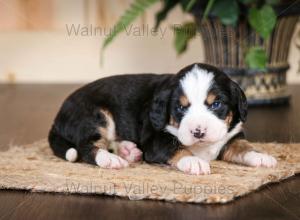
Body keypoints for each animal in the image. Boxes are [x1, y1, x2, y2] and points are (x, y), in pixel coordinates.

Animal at [48, 62, 276, 174]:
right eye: (180, 107)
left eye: (216, 104)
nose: (198, 132)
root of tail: (58, 114)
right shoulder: (156, 139)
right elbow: (176, 147)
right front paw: (193, 161)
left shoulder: (231, 137)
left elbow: (244, 146)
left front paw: (262, 156)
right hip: (96, 115)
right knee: (87, 146)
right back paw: (111, 159)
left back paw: (127, 150)